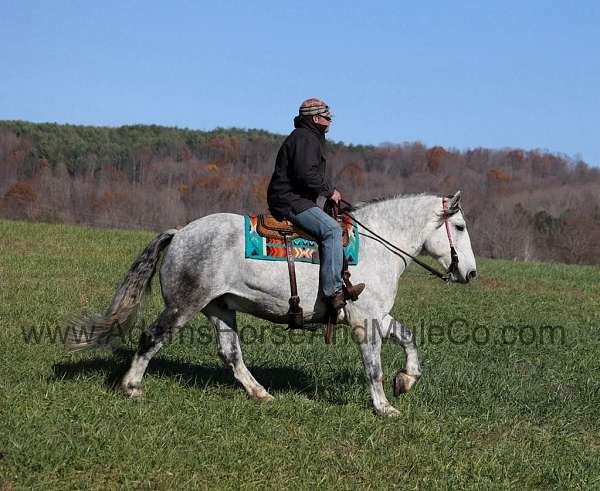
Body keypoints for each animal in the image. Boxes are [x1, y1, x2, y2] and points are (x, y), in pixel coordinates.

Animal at [68, 190, 476, 418]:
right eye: (459, 227)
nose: (470, 273)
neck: (377, 246)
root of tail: (180, 233)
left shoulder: (376, 315)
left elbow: (408, 338)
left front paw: (405, 380)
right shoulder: (365, 322)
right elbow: (372, 367)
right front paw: (384, 407)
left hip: (220, 308)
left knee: (230, 354)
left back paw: (259, 392)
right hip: (184, 305)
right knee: (152, 338)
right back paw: (131, 386)